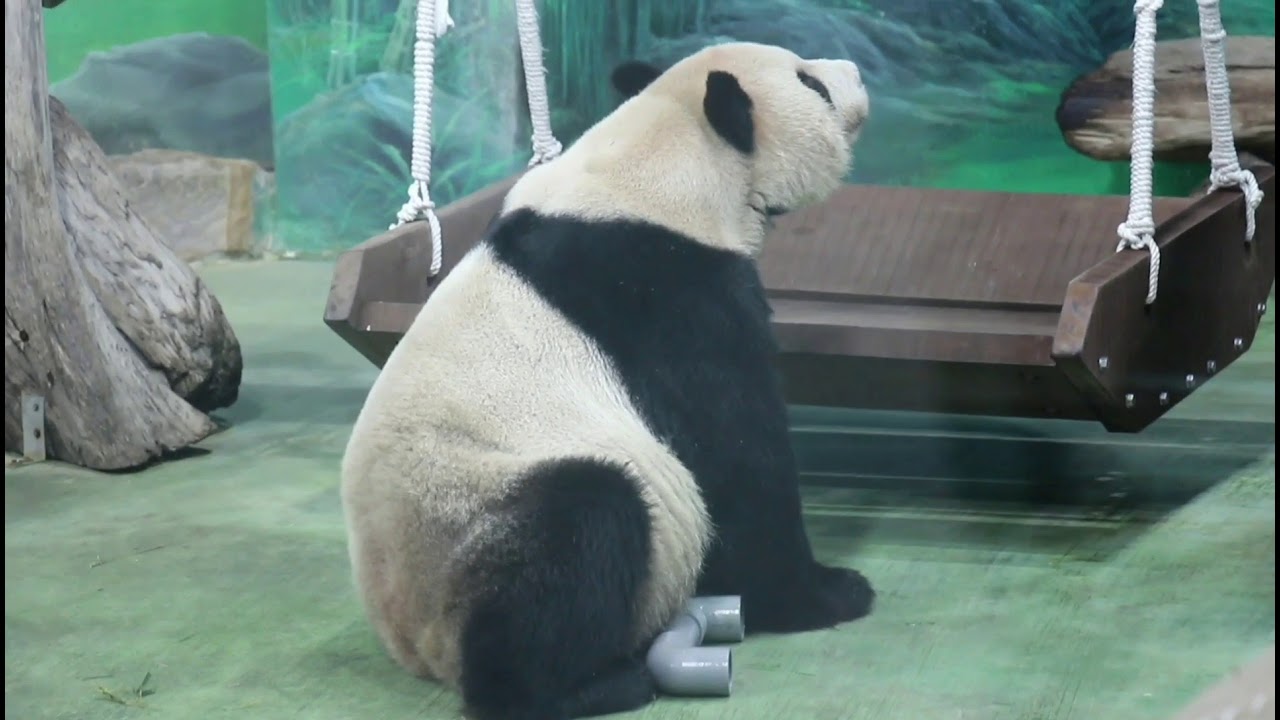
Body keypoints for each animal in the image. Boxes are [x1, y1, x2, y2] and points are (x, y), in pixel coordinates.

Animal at [340, 41, 874, 720]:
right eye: (812, 84)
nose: (856, 72)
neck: (669, 156)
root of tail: (410, 643)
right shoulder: (668, 291)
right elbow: (736, 454)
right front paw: (825, 594)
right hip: (473, 514)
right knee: (585, 524)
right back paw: (588, 686)